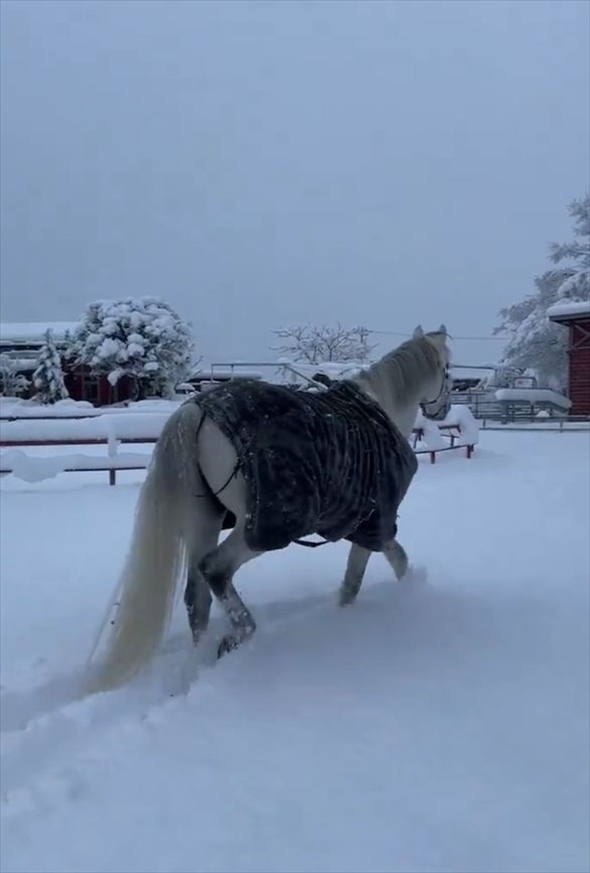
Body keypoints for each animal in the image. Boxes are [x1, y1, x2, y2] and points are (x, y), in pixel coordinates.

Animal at [86, 324, 454, 692]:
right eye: (448, 369)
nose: (443, 410)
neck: (380, 407)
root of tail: (197, 411)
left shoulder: (364, 525)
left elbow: (381, 565)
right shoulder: (373, 523)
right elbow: (368, 575)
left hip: (206, 519)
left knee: (197, 596)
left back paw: (202, 658)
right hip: (262, 529)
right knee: (215, 570)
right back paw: (237, 636)